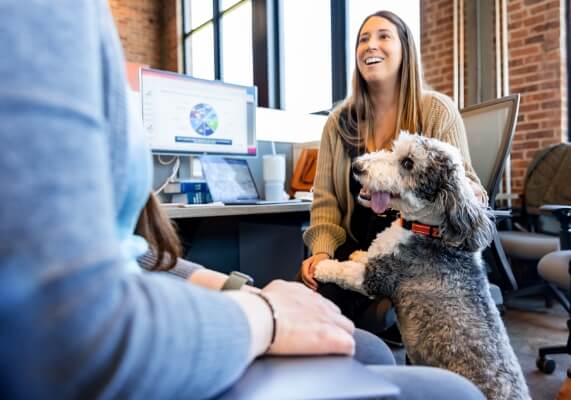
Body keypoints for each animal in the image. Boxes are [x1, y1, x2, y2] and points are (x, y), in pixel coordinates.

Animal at [316, 133, 528, 398]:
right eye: (395, 150)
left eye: (408, 163)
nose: (357, 166)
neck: (425, 228)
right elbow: (366, 255)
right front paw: (357, 253)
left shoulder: (377, 276)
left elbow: (344, 270)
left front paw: (322, 267)